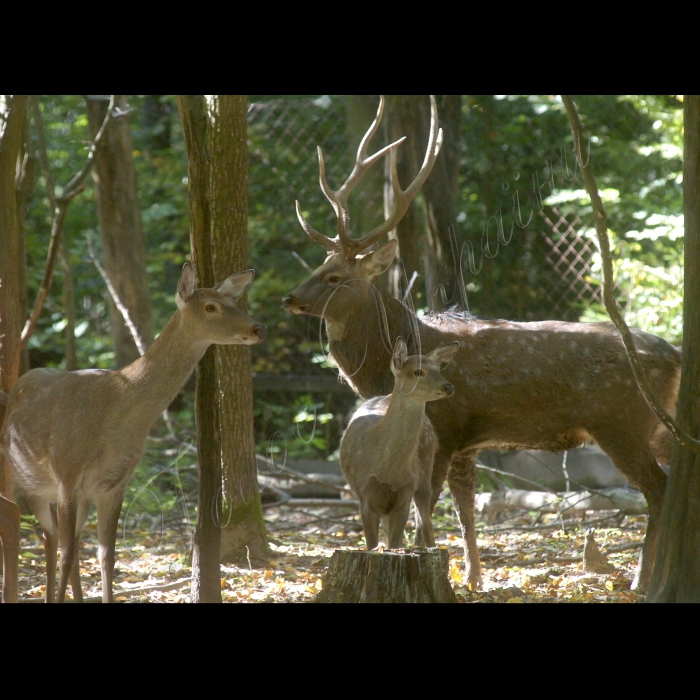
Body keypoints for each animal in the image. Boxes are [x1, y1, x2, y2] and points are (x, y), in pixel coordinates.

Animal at [3, 262, 266, 600]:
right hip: (28, 481)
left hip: (55, 491)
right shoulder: (67, 475)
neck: (116, 416)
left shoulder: (114, 484)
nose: (258, 329)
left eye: (234, 302)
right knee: (46, 537)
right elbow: (68, 554)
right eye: (211, 306)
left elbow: (107, 555)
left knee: (58, 539)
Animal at [340, 340, 460, 552]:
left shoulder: (405, 491)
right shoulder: (364, 494)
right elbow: (373, 544)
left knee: (425, 522)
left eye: (438, 369)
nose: (448, 386)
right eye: (418, 371)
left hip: (425, 470)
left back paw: (431, 548)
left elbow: (395, 542)